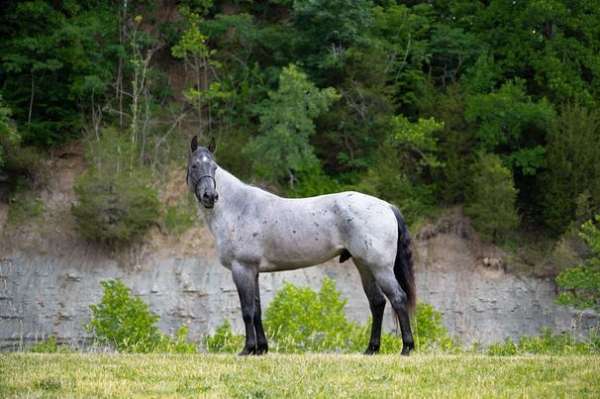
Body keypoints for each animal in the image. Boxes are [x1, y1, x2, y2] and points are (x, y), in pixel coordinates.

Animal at [188, 138, 418, 356]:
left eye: (214, 167)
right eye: (194, 165)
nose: (210, 196)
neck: (238, 207)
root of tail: (387, 206)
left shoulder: (242, 268)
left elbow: (247, 311)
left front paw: (248, 349)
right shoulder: (253, 271)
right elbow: (257, 310)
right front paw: (261, 349)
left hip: (380, 268)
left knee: (398, 298)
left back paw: (407, 347)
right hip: (364, 265)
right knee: (377, 302)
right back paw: (372, 349)